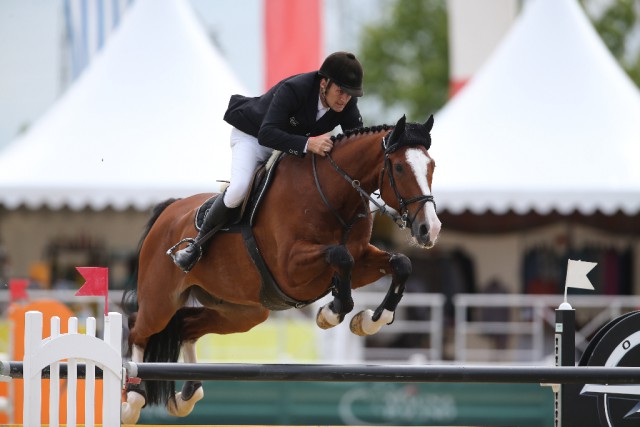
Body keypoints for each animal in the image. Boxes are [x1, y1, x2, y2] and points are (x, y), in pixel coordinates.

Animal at [121, 114, 440, 424]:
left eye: (432, 166)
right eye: (399, 167)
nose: (430, 229)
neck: (332, 195)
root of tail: (169, 210)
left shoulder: (361, 259)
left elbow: (400, 264)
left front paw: (369, 320)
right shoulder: (291, 269)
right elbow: (340, 257)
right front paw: (330, 313)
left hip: (242, 312)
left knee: (187, 326)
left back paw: (188, 394)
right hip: (161, 301)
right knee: (137, 329)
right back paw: (133, 400)